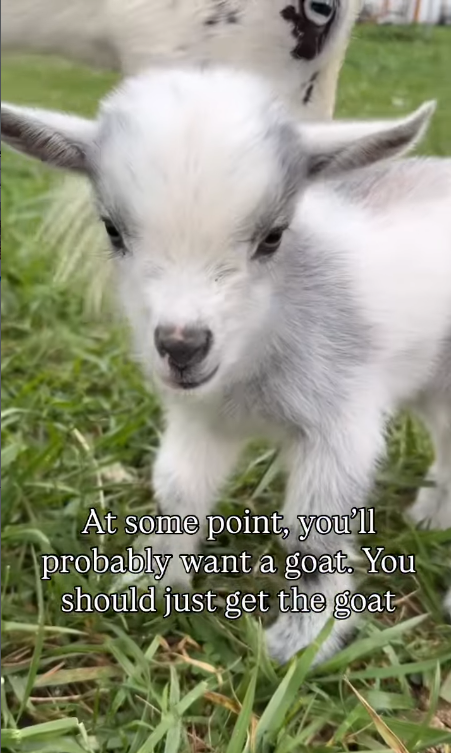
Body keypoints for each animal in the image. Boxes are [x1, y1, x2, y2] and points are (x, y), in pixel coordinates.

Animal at [2, 66, 450, 664]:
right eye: (112, 230)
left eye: (274, 236)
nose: (182, 346)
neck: (253, 359)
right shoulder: (201, 418)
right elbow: (179, 491)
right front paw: (152, 582)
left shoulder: (340, 421)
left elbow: (313, 529)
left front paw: (304, 640)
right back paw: (433, 514)